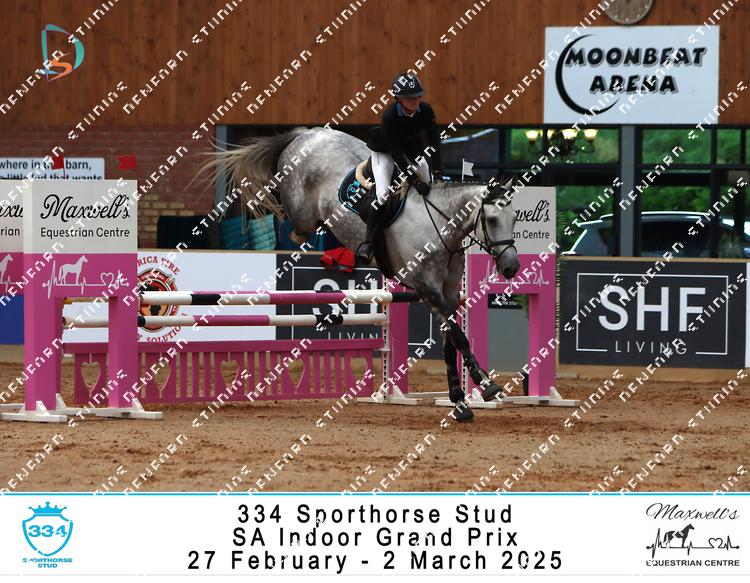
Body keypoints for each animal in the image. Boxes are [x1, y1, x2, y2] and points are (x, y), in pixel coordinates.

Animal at [209, 127, 520, 422]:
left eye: (515, 218)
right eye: (492, 220)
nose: (511, 267)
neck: (440, 227)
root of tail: (307, 134)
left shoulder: (450, 294)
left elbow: (450, 342)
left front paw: (459, 400)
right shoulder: (426, 290)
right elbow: (459, 337)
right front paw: (487, 386)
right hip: (301, 209)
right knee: (296, 224)